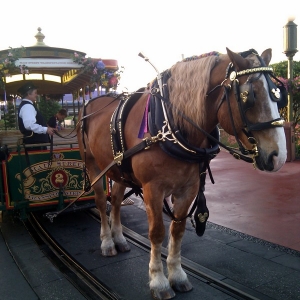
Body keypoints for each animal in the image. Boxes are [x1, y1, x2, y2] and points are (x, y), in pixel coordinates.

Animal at [76, 48, 288, 298]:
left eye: (278, 96)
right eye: (248, 97)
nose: (279, 156)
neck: (170, 125)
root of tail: (89, 104)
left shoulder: (188, 188)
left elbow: (177, 231)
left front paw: (177, 275)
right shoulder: (153, 189)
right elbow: (157, 233)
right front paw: (159, 282)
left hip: (118, 168)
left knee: (116, 201)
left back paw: (119, 238)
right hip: (93, 165)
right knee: (101, 201)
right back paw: (108, 243)